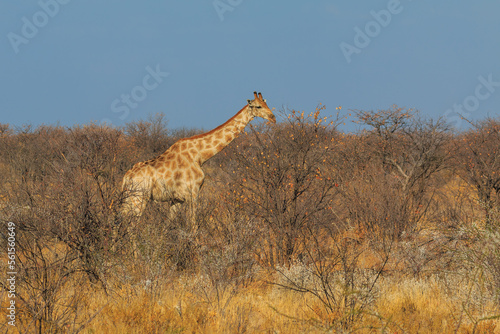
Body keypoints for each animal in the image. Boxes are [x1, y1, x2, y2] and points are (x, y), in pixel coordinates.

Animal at [121, 91, 278, 217]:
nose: (273, 117)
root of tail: (126, 177)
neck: (200, 155)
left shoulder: (176, 199)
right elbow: (193, 226)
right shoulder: (193, 194)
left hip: (129, 198)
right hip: (139, 198)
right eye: (258, 106)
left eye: (266, 103)